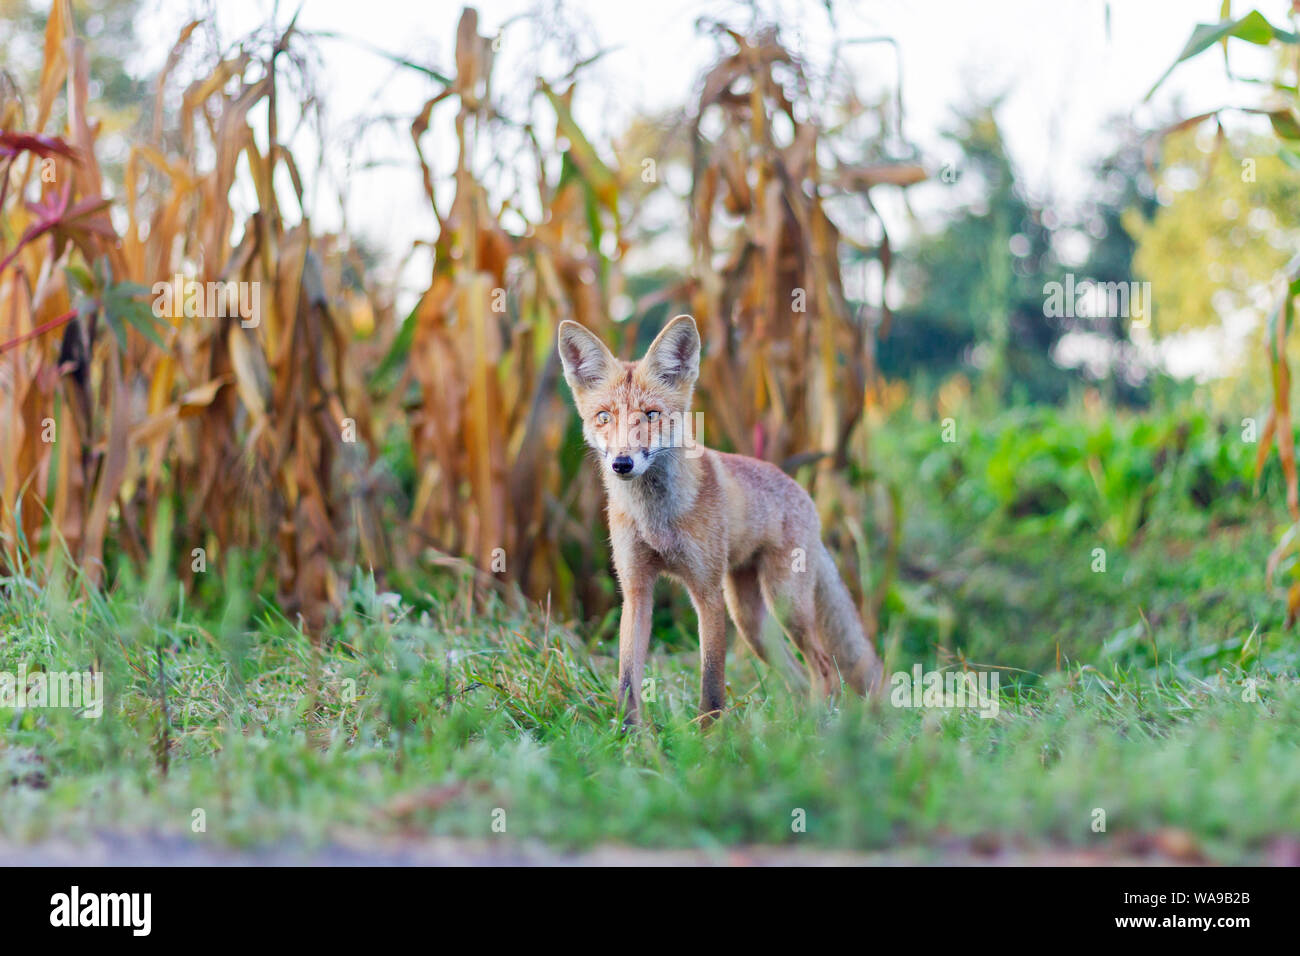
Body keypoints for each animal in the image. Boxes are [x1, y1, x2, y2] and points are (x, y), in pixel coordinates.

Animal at [556, 314, 883, 723]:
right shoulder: (635, 590)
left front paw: (708, 733)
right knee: (798, 676)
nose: (622, 463)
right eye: (604, 417)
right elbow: (628, 678)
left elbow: (712, 679)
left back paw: (821, 726)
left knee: (824, 668)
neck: (657, 520)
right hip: (751, 622)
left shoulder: (707, 592)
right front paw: (629, 733)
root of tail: (803, 492)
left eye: (651, 415)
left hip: (783, 604)